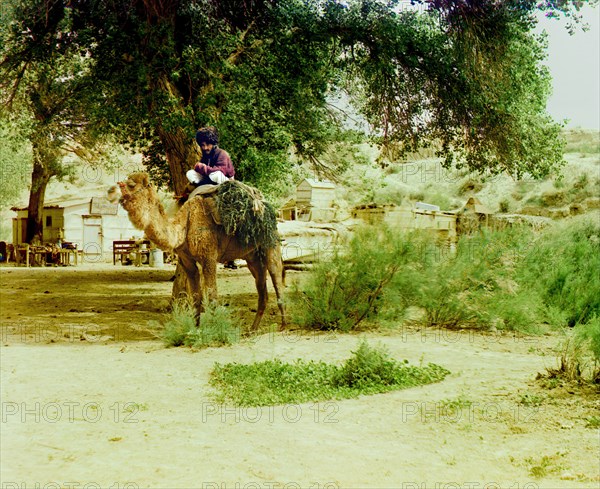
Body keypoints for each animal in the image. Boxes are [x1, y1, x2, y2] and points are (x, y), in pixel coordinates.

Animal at [111, 173, 288, 332]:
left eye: (131, 184)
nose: (112, 190)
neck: (184, 225)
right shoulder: (186, 260)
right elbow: (196, 297)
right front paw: (195, 330)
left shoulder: (209, 257)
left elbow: (211, 296)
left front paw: (217, 332)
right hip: (252, 257)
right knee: (262, 288)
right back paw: (253, 329)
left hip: (270, 243)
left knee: (276, 275)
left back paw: (283, 325)